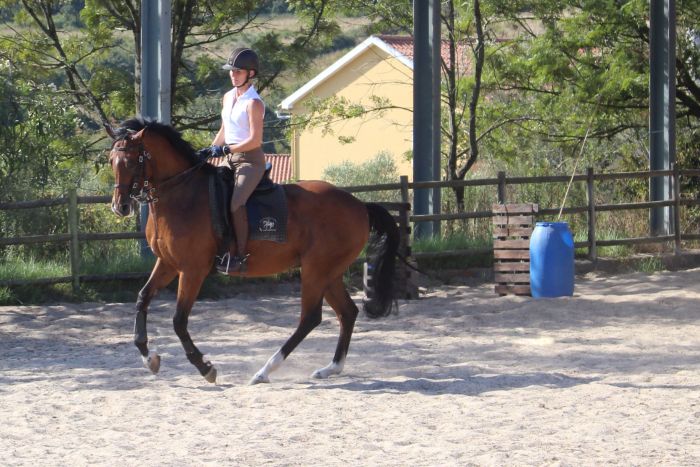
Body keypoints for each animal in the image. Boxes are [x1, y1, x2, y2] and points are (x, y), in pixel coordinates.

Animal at [105, 119, 400, 386]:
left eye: (130, 161)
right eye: (111, 161)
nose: (120, 207)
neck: (181, 193)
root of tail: (360, 205)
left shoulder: (192, 269)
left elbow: (178, 320)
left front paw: (205, 368)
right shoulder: (167, 263)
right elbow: (142, 299)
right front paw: (149, 359)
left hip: (316, 270)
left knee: (310, 318)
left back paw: (265, 371)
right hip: (330, 272)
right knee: (347, 312)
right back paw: (331, 369)